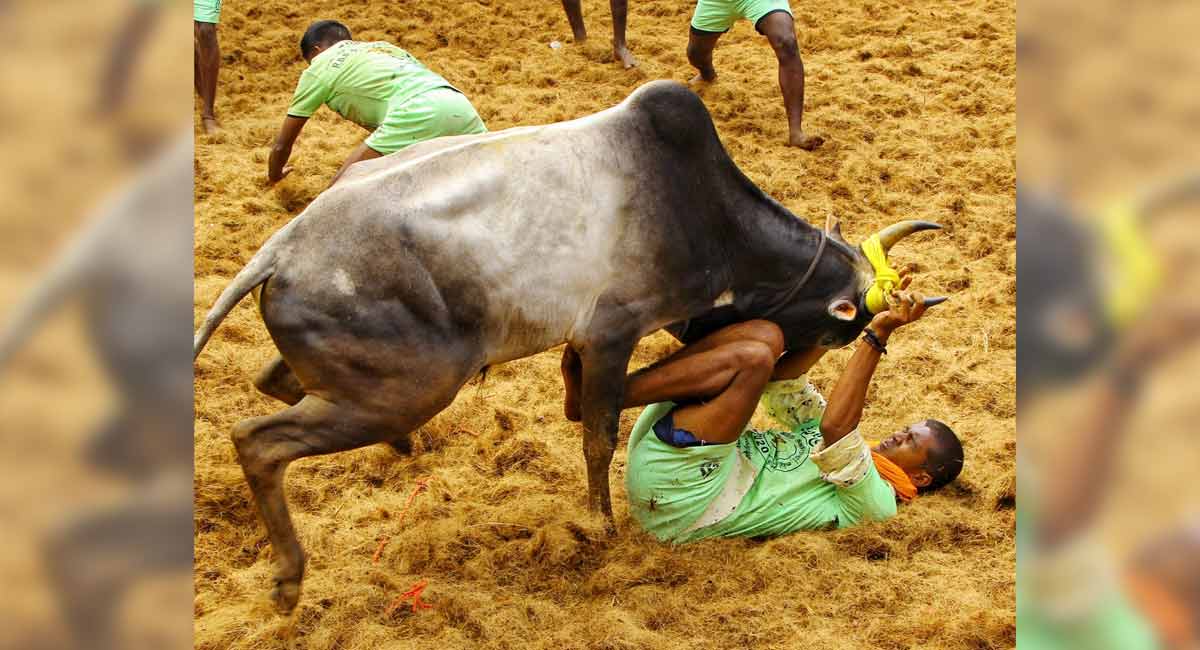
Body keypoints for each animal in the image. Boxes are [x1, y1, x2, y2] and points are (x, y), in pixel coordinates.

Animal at [192, 80, 943, 614]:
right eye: (839, 327)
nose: (795, 362)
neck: (709, 217)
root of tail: (281, 252)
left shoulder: (596, 341)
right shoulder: (614, 331)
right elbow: (598, 433)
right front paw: (600, 527)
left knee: (271, 382)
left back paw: (392, 454)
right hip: (410, 388)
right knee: (257, 439)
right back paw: (289, 579)